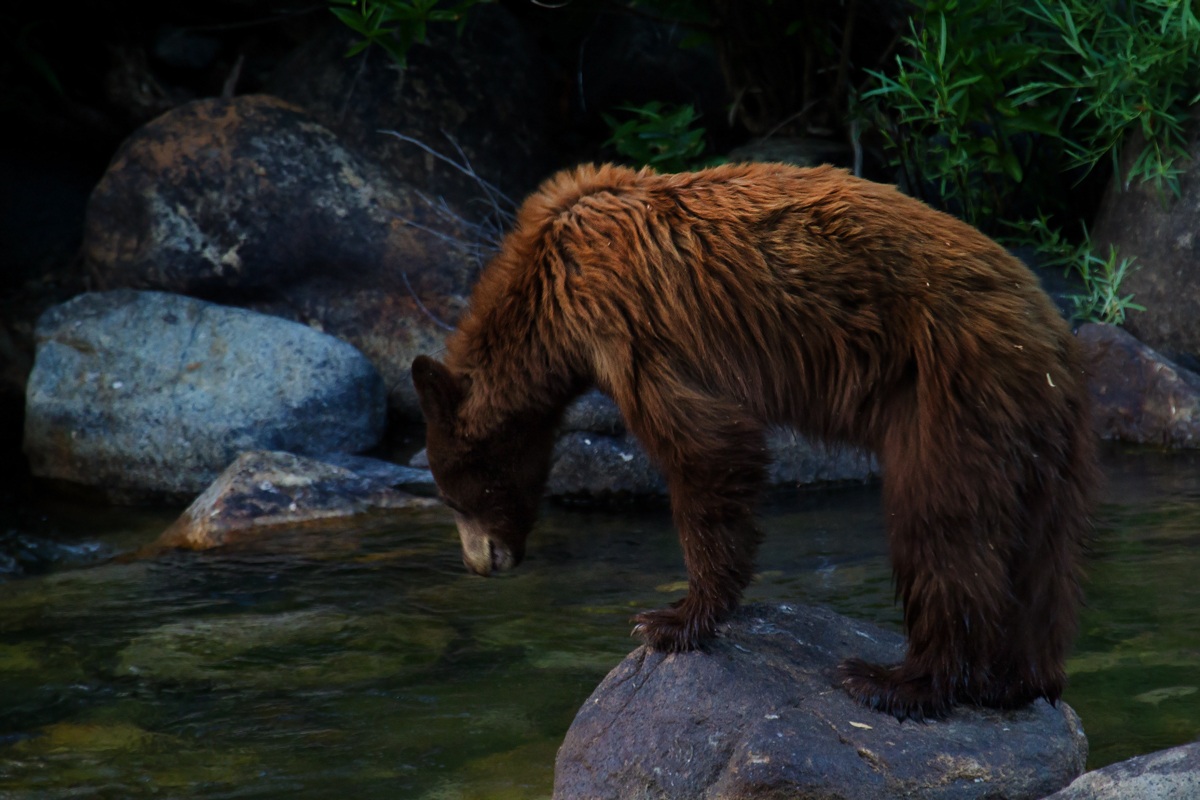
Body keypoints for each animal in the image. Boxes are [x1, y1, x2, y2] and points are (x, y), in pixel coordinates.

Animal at [411, 162, 1096, 720]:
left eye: (451, 495)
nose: (481, 563)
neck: (545, 298)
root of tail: (1050, 329)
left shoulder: (624, 320)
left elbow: (708, 445)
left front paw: (670, 619)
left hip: (949, 385)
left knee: (941, 526)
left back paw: (896, 680)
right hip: (1036, 429)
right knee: (1043, 551)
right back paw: (1020, 681)